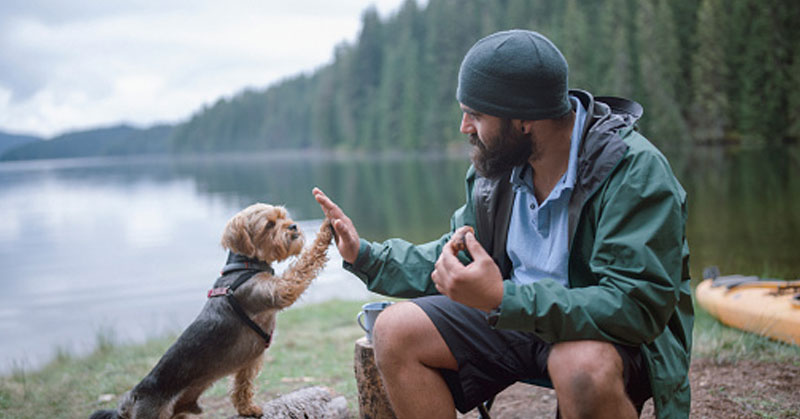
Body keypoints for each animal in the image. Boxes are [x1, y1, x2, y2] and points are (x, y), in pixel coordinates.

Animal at [89, 203, 332, 416]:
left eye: (283, 216)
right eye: (269, 224)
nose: (293, 226)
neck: (245, 266)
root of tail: (133, 397)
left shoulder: (247, 364)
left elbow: (242, 386)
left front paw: (247, 408)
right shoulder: (278, 291)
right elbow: (304, 265)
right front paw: (327, 229)